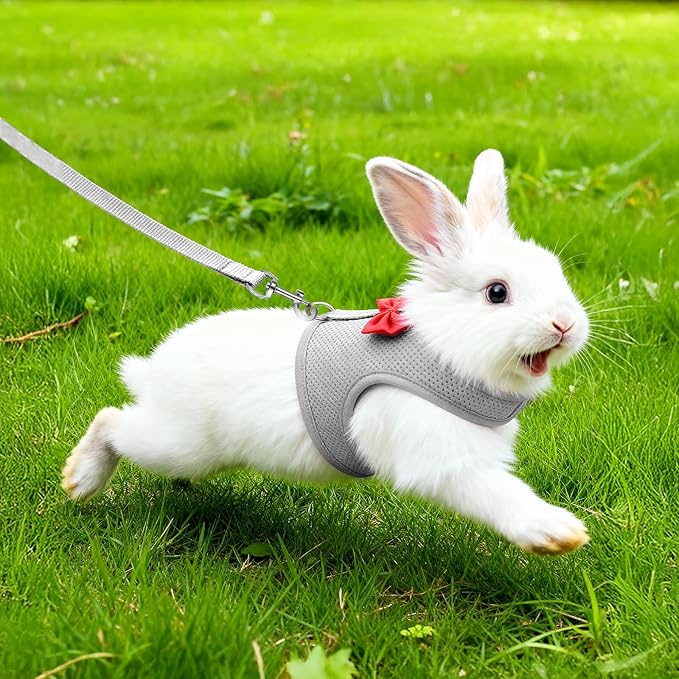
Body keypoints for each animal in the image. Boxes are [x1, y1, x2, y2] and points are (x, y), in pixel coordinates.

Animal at [62, 149, 590, 555]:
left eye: (555, 269)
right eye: (497, 293)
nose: (565, 324)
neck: (442, 350)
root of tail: (153, 370)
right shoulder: (441, 459)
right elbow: (495, 493)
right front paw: (559, 533)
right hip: (179, 443)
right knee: (112, 421)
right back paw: (79, 480)